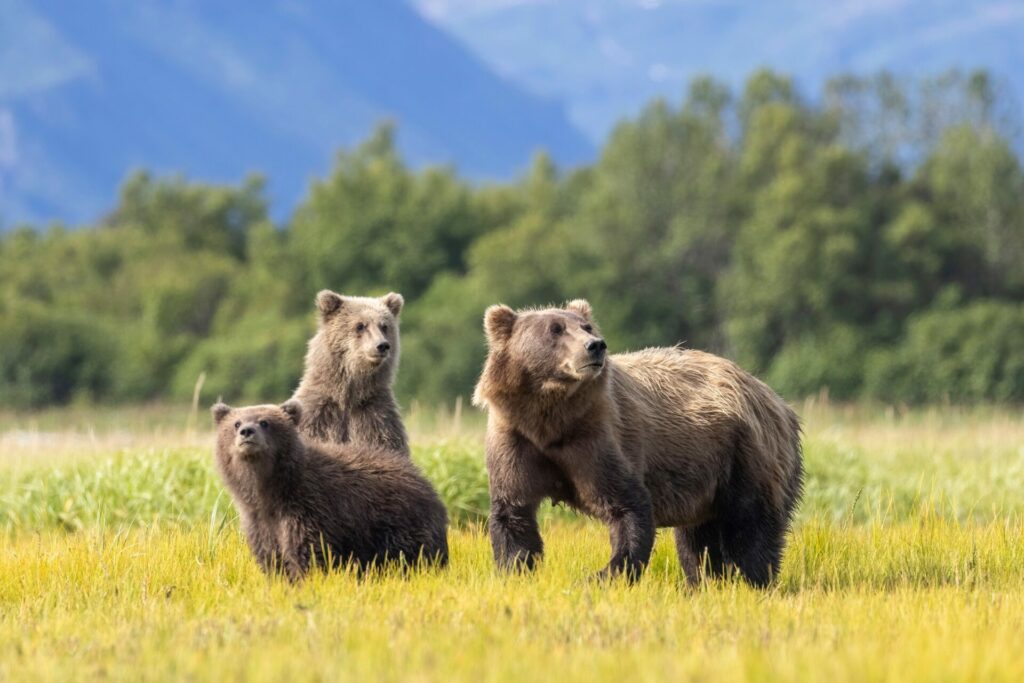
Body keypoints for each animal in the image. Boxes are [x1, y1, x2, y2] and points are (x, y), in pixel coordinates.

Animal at [211, 399, 448, 581]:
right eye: (236, 423)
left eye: (265, 422)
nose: (247, 432)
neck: (271, 490)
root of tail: (425, 480)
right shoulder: (259, 520)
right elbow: (270, 555)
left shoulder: (309, 509)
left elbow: (307, 552)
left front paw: (304, 579)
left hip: (399, 523)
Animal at [472, 299, 803, 586]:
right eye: (555, 329)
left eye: (586, 326)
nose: (595, 345)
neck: (549, 418)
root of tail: (773, 397)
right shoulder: (517, 440)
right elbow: (513, 513)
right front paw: (515, 570)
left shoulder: (595, 440)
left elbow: (628, 506)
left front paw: (600, 576)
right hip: (706, 480)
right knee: (698, 540)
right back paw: (704, 582)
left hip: (746, 454)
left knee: (749, 527)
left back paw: (753, 580)